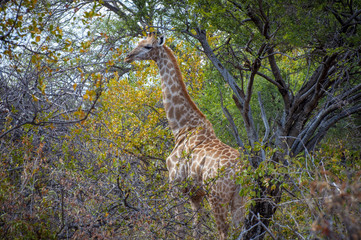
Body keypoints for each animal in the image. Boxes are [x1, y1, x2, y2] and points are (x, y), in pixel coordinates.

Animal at [124, 32, 248, 239]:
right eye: (139, 42)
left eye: (148, 47)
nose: (128, 56)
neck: (182, 127)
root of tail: (240, 171)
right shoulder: (195, 194)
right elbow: (197, 228)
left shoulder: (175, 185)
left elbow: (180, 228)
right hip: (241, 198)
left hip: (217, 197)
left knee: (224, 232)